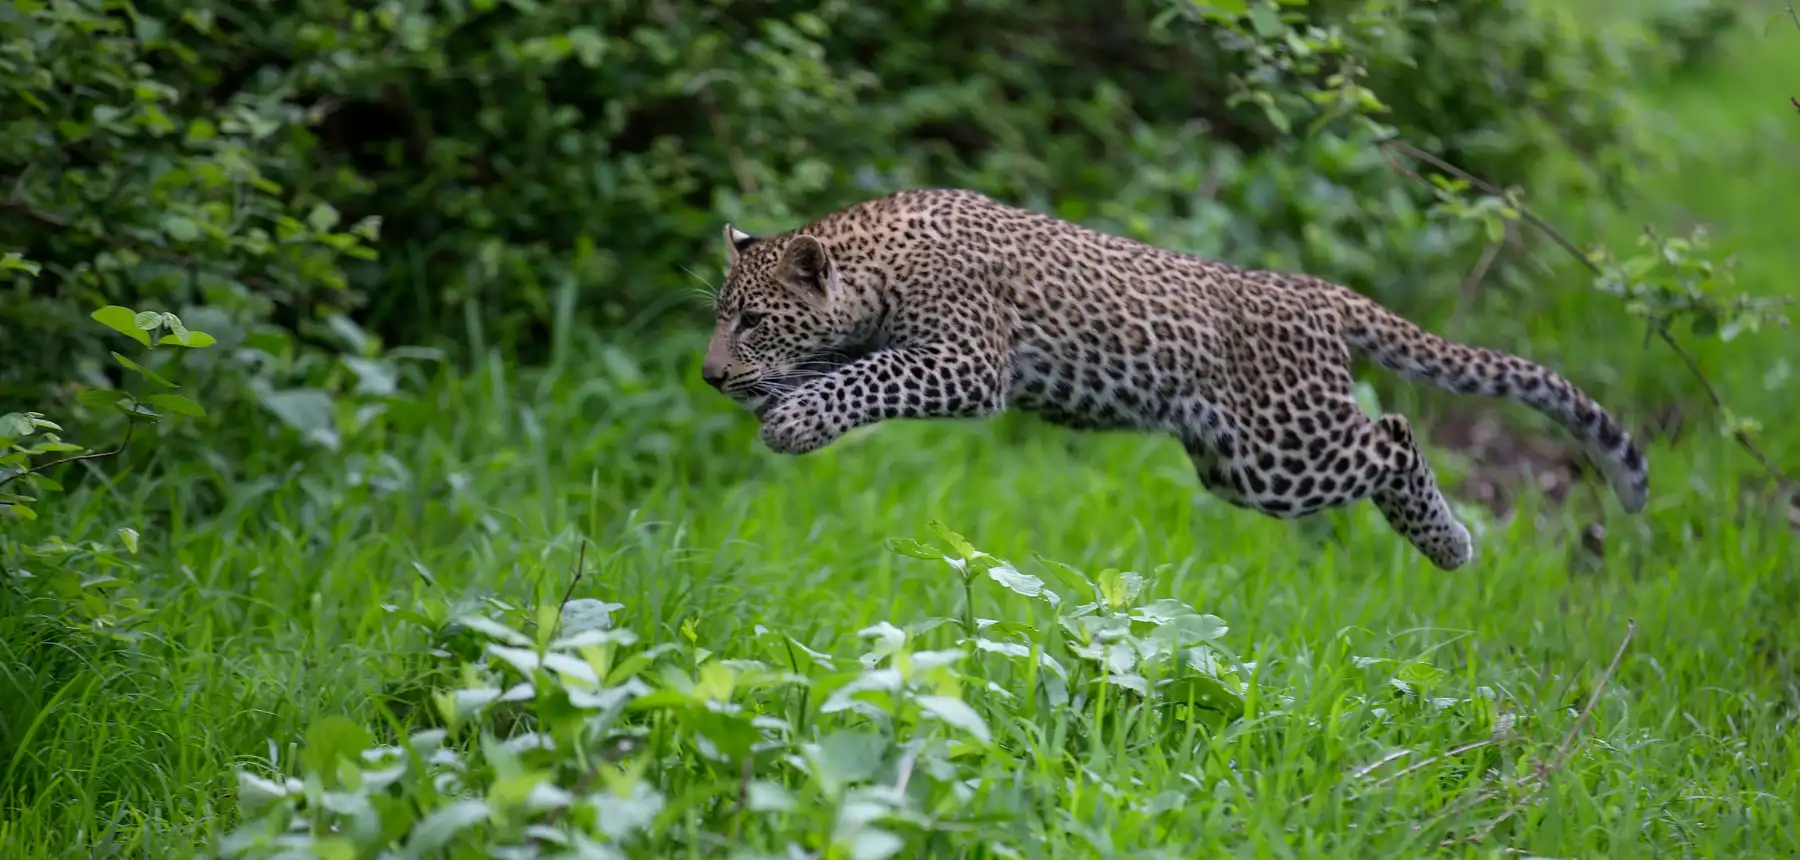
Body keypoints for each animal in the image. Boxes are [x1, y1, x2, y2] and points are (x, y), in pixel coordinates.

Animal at [698, 188, 1649, 570]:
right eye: (721, 313)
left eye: (751, 319)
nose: (708, 377)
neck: (875, 266)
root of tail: (1319, 292)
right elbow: (854, 367)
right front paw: (788, 402)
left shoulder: (966, 361)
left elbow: (870, 377)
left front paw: (796, 419)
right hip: (1232, 464)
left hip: (1284, 450)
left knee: (1394, 437)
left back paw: (1450, 544)